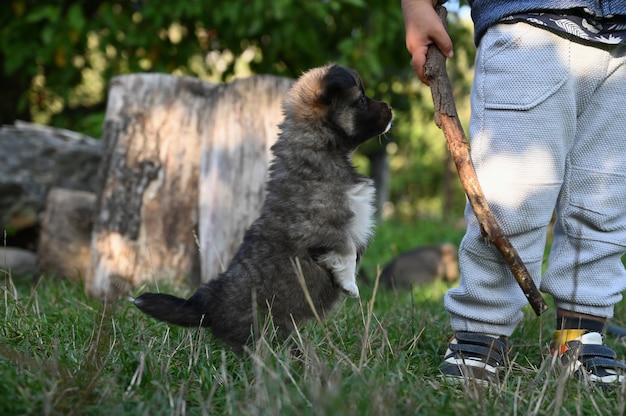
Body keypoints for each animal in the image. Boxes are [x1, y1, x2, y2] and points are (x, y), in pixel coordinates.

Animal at [132, 64, 390, 352]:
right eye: (362, 100)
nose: (390, 108)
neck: (323, 151)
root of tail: (207, 305)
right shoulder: (322, 227)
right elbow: (344, 251)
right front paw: (350, 286)